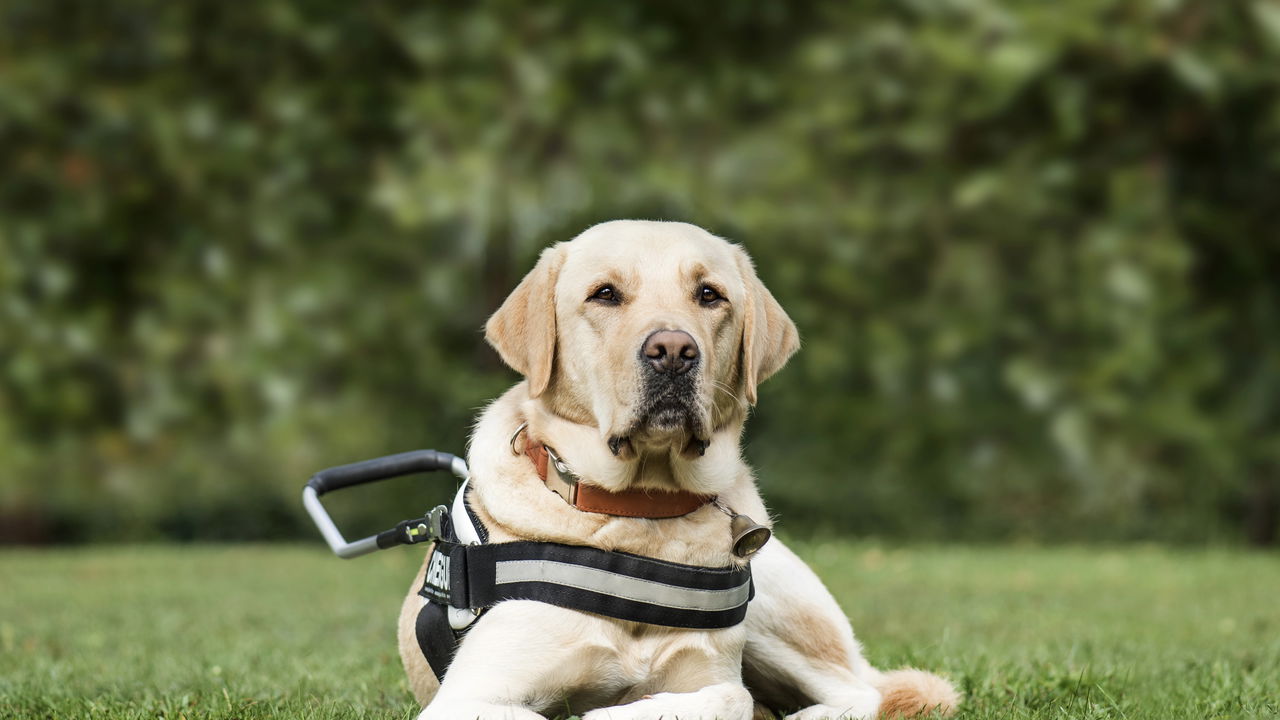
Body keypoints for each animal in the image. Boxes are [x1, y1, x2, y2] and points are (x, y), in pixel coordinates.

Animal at [394, 220, 957, 717]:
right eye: (604, 294)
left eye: (709, 295)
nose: (672, 351)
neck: (640, 511)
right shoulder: (469, 696)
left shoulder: (713, 674)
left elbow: (730, 699)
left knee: (862, 695)